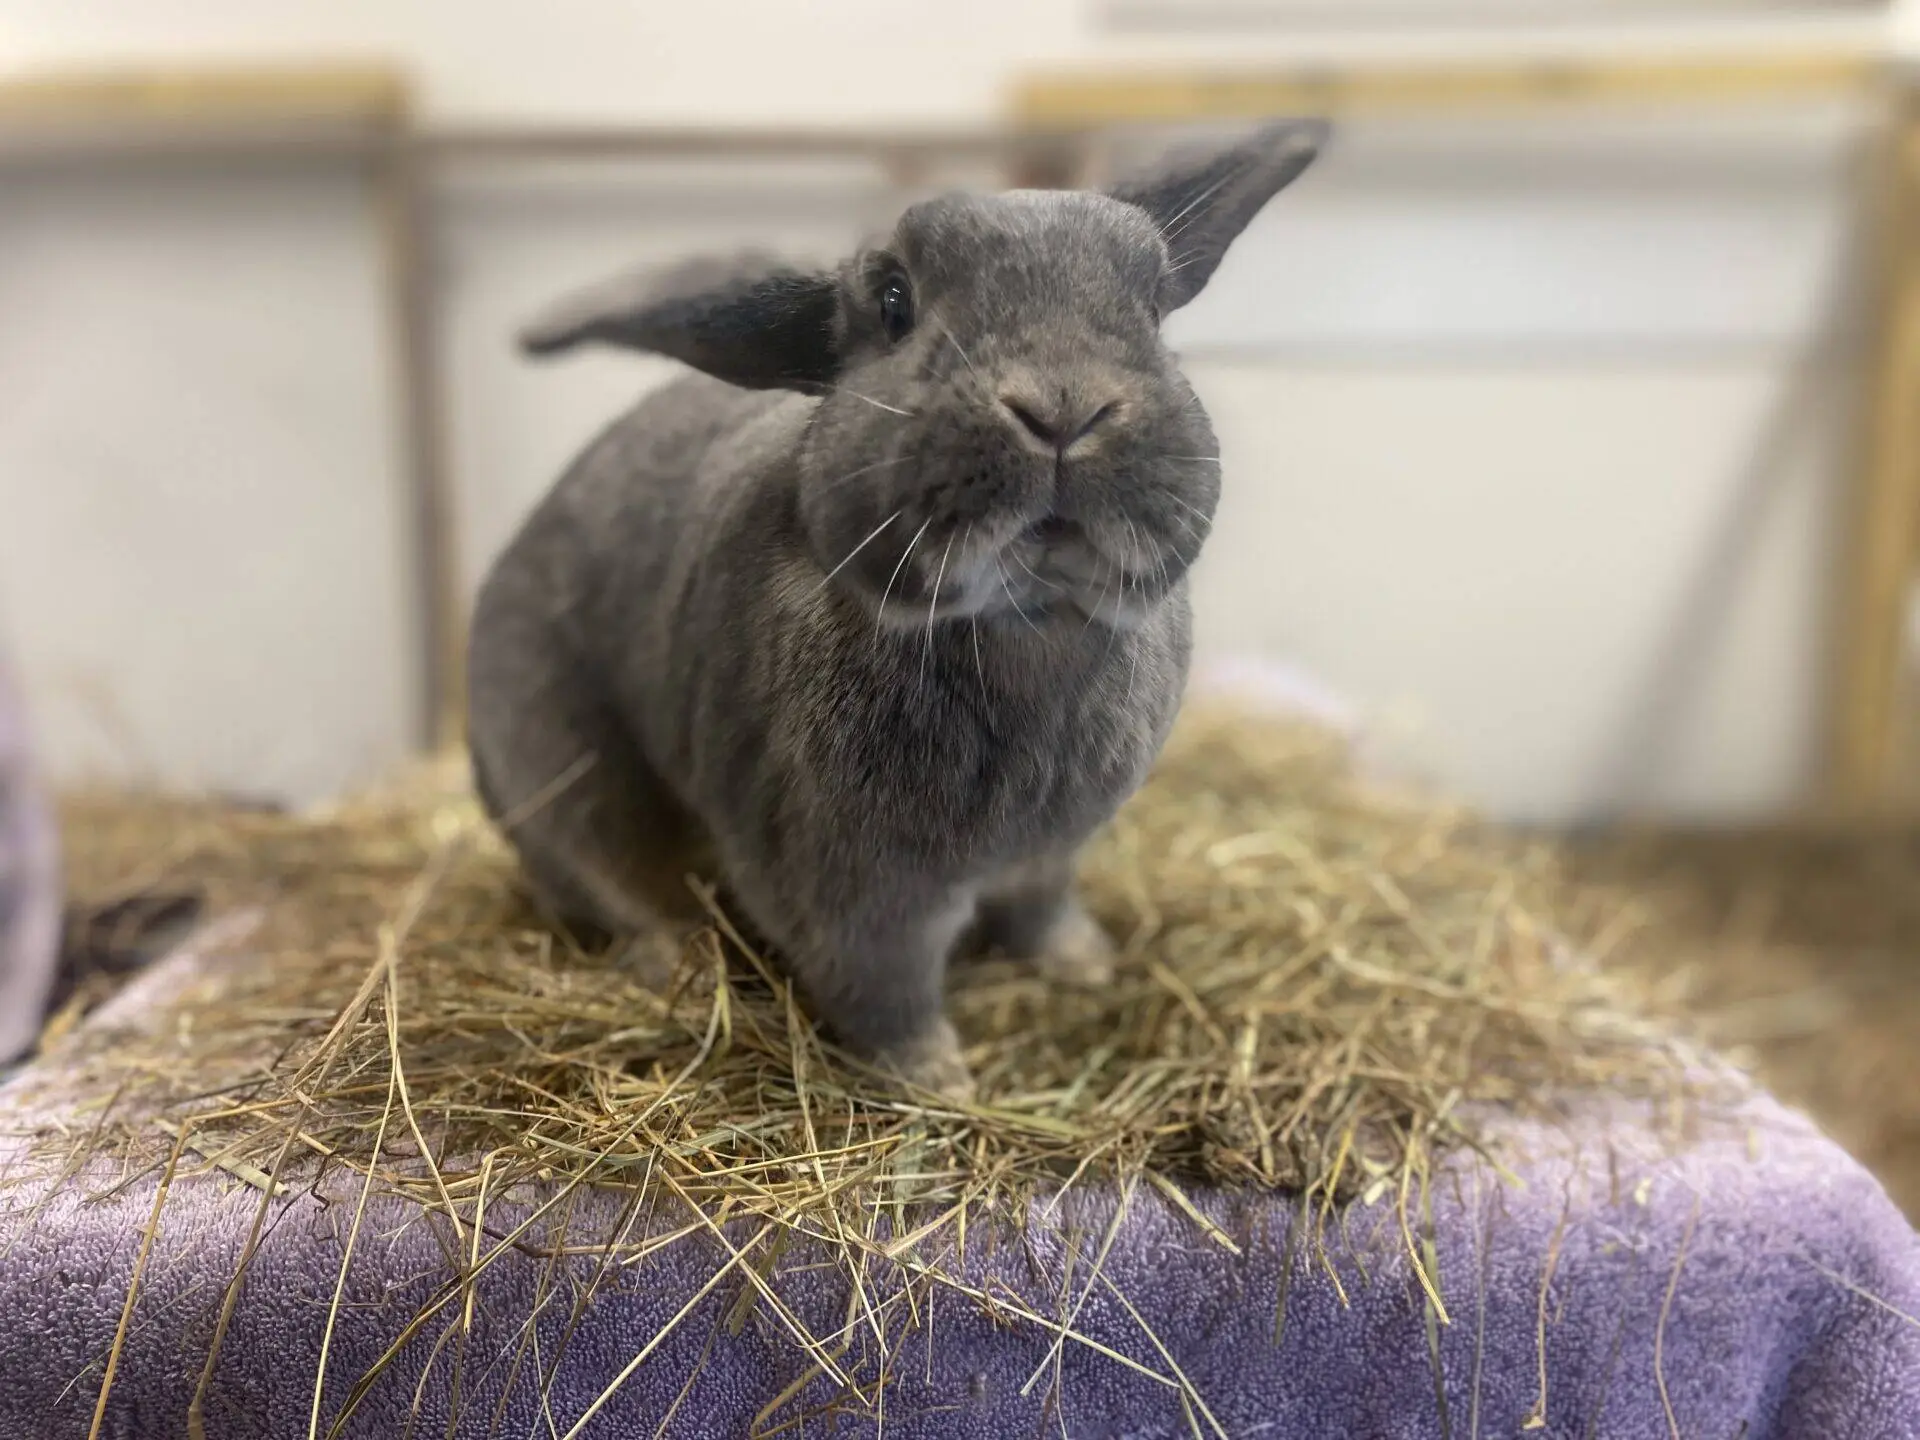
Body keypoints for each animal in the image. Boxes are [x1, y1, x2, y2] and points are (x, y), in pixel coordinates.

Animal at [468, 120, 1328, 1097]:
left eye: (1152, 302)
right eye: (892, 300)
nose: (1063, 406)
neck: (1024, 626)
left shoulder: (1047, 860)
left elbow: (1042, 912)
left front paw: (1085, 966)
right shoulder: (851, 899)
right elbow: (886, 990)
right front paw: (937, 1082)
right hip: (556, 773)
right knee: (609, 882)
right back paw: (670, 962)